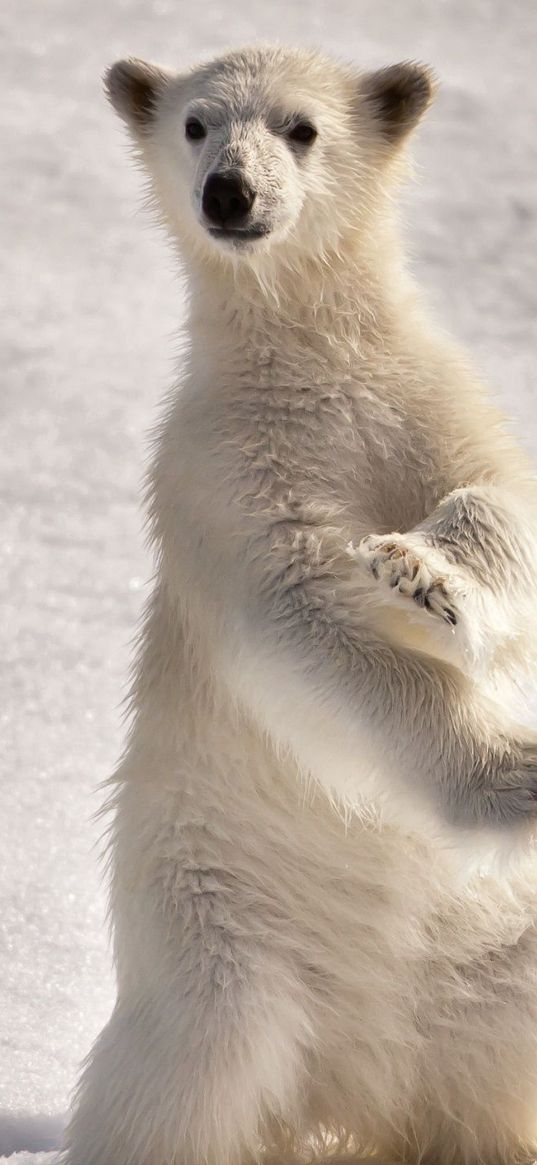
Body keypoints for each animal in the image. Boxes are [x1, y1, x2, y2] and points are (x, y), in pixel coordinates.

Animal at [62, 50, 537, 1165]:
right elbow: (303, 620)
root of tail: (370, 1086)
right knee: (183, 1083)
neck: (314, 359)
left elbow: (499, 498)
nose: (230, 194)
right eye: (196, 124)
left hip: (503, 956)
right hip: (216, 930)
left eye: (302, 127)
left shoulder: (429, 400)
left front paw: (424, 575)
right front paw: (516, 778)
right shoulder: (223, 469)